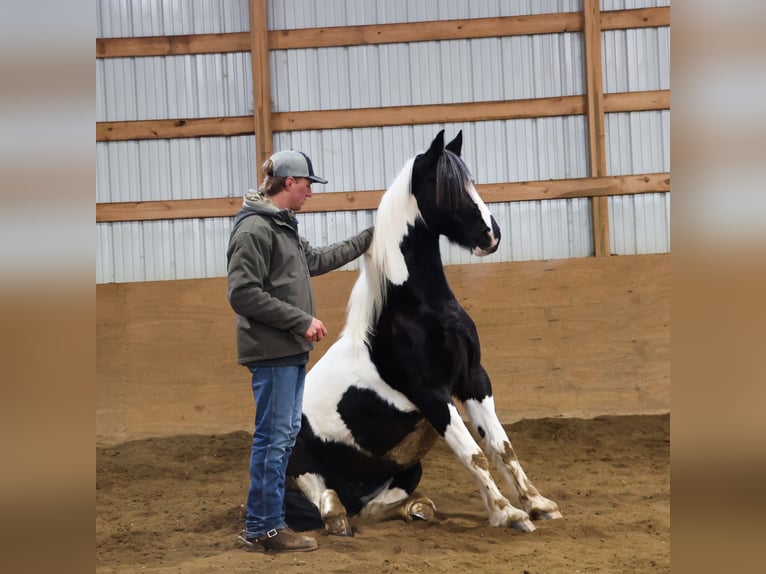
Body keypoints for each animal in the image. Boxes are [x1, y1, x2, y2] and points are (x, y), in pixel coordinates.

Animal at [284, 130, 562, 536]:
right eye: (447, 188)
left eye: (471, 181)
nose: (490, 235)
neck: (420, 309)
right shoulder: (432, 394)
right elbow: (474, 455)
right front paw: (508, 514)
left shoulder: (474, 379)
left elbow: (501, 446)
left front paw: (539, 504)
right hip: (300, 461)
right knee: (325, 498)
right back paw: (337, 517)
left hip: (407, 467)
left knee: (371, 508)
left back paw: (415, 509)